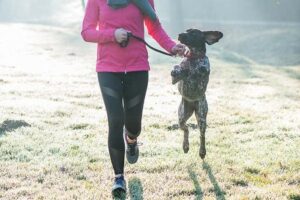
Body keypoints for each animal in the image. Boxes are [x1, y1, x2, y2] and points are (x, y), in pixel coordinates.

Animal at [171, 28, 223, 159]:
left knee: (202, 136)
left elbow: (201, 70)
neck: (193, 57)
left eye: (193, 33)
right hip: (181, 117)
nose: (179, 34)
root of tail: (193, 107)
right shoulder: (174, 80)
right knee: (186, 130)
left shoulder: (203, 76)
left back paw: (202, 152)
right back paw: (185, 146)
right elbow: (177, 69)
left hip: (202, 118)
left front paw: (196, 70)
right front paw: (179, 70)